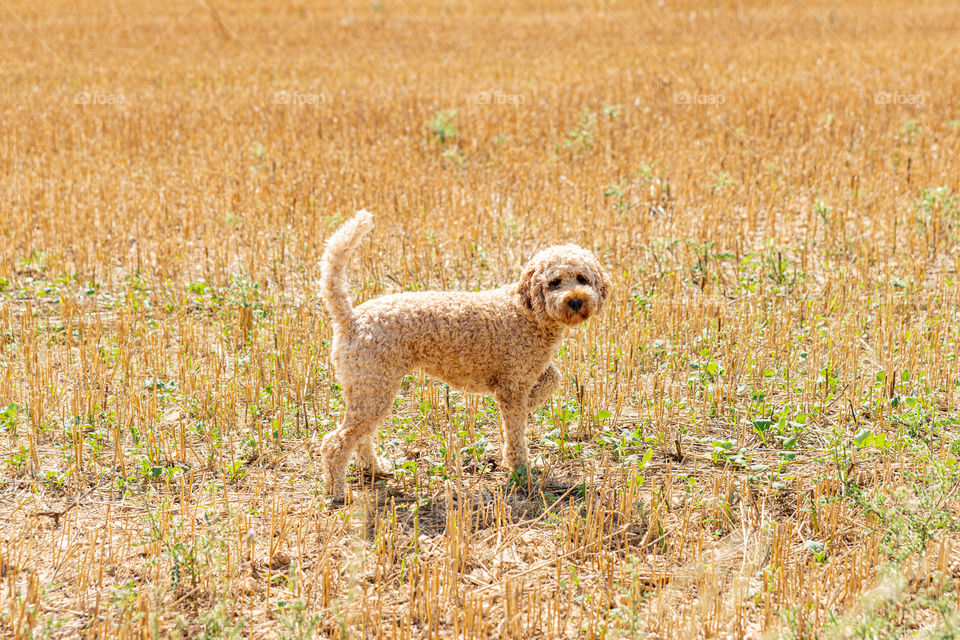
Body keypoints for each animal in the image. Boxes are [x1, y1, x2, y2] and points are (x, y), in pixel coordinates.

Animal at [318, 211, 612, 500]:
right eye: (554, 282)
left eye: (582, 279)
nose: (576, 301)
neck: (526, 311)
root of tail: (351, 318)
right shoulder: (513, 385)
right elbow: (516, 433)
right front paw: (521, 470)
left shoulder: (526, 373)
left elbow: (553, 378)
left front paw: (533, 403)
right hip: (375, 388)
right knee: (336, 442)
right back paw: (338, 492)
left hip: (367, 389)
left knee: (360, 436)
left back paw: (374, 468)